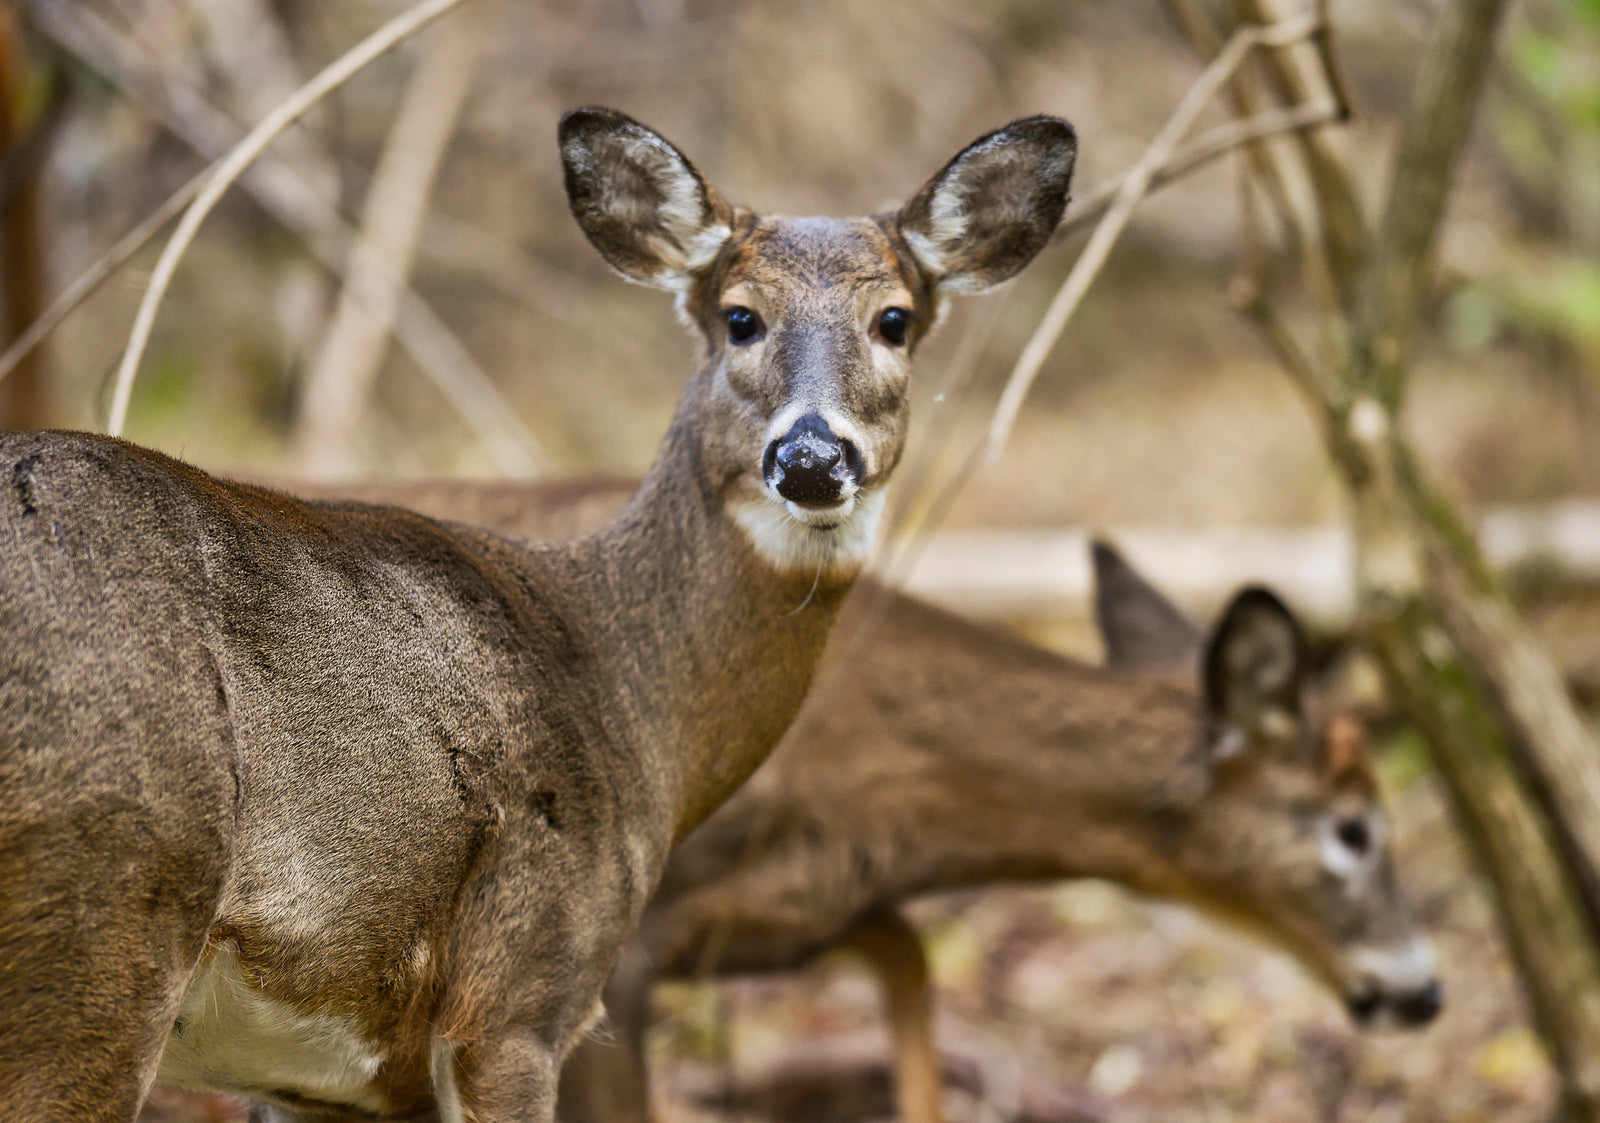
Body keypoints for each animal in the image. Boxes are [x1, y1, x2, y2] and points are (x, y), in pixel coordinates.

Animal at [0, 106, 1077, 1122]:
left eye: (895, 319)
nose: (811, 457)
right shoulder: (521, 990)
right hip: (105, 921)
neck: (624, 688)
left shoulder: (325, 1081)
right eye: (739, 316)